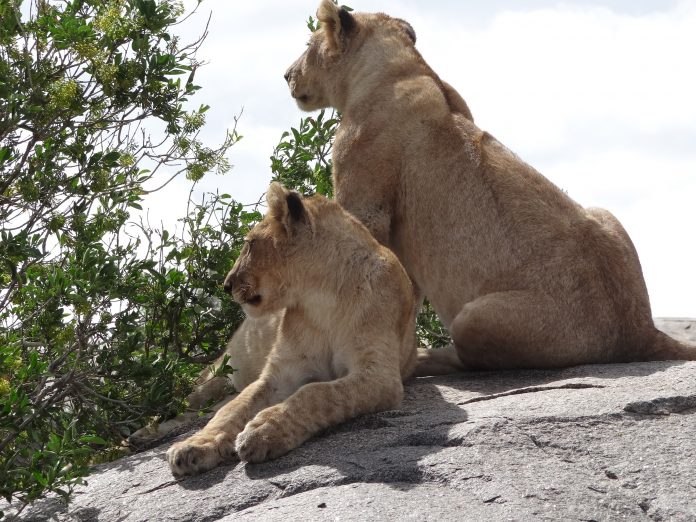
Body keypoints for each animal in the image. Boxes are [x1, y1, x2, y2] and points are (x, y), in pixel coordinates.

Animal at [166, 183, 416, 476]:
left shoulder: (380, 375)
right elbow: (232, 409)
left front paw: (263, 431)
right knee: (192, 401)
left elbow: (316, 393)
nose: (226, 285)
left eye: (249, 244)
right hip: (220, 369)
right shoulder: (279, 374)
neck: (320, 297)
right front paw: (195, 445)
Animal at [284, 1, 696, 366]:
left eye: (308, 44)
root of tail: (642, 331)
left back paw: (428, 359)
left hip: (475, 318)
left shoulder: (366, 199)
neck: (400, 67)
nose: (287, 74)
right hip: (604, 213)